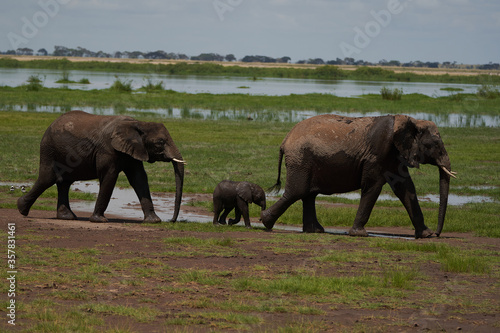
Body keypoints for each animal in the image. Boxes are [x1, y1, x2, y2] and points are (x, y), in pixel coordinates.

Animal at [17, 110, 187, 222]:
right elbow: (109, 177)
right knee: (48, 178)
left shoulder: (133, 150)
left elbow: (139, 178)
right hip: (49, 149)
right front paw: (99, 220)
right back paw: (21, 209)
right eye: (160, 142)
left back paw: (67, 217)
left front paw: (154, 221)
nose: (171, 221)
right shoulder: (107, 149)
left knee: (64, 182)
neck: (137, 123)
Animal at [262, 113, 458, 237]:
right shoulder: (377, 154)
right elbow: (373, 186)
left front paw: (425, 235)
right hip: (301, 159)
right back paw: (265, 222)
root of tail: (285, 140)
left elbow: (406, 188)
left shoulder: (394, 155)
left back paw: (315, 231)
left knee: (308, 194)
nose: (438, 233)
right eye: (435, 144)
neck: (412, 121)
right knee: (298, 191)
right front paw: (360, 234)